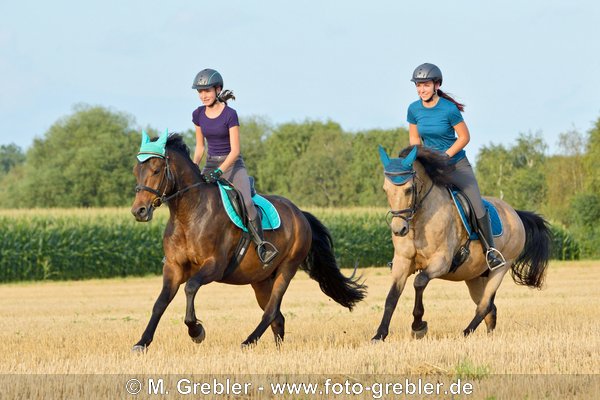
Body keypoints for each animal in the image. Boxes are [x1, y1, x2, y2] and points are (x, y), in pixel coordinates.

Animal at [130, 134, 366, 350]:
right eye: (136, 171)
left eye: (156, 170)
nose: (138, 211)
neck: (189, 214)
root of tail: (300, 214)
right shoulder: (174, 267)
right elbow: (160, 303)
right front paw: (142, 342)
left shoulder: (214, 266)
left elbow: (190, 287)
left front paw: (196, 331)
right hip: (260, 280)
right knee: (277, 317)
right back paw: (276, 349)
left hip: (287, 269)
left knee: (271, 311)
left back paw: (248, 341)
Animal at [372, 145, 552, 340]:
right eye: (385, 190)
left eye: (409, 189)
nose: (399, 229)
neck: (419, 222)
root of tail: (515, 213)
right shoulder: (402, 261)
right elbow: (392, 296)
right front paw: (379, 334)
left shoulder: (441, 262)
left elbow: (419, 281)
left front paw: (418, 326)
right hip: (474, 276)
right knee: (490, 308)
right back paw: (488, 336)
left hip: (501, 267)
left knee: (485, 305)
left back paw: (465, 333)